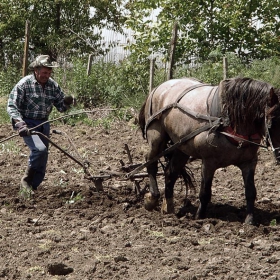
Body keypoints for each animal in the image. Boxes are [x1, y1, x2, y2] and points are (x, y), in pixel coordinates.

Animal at [138, 77, 280, 225]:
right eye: (272, 122)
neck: (227, 122)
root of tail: (158, 88)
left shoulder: (249, 162)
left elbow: (250, 191)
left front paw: (249, 221)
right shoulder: (209, 162)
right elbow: (205, 193)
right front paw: (199, 217)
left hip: (181, 147)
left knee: (171, 173)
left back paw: (168, 208)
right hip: (156, 138)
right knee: (150, 163)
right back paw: (152, 199)